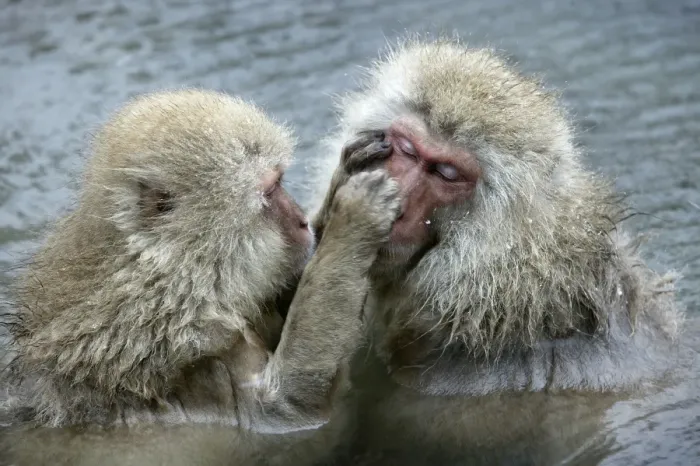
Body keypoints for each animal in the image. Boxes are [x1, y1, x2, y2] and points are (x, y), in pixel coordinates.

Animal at [0, 87, 401, 451]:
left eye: (281, 182)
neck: (173, 278)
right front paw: (355, 219)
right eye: (271, 192)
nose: (303, 223)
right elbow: (288, 405)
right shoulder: (179, 343)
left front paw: (346, 177)